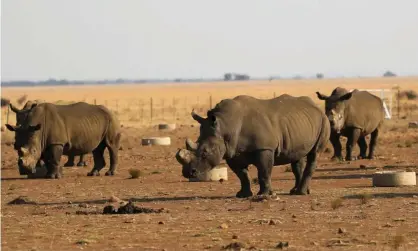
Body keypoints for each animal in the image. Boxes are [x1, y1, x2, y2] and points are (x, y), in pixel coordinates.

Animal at [176, 94, 330, 198]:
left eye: (205, 152)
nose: (188, 173)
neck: (226, 125)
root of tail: (317, 108)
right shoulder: (232, 152)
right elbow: (242, 175)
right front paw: (243, 195)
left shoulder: (264, 148)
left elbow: (263, 172)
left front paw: (264, 195)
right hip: (299, 124)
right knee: (297, 157)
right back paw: (297, 191)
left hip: (324, 120)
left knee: (314, 154)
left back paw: (301, 193)